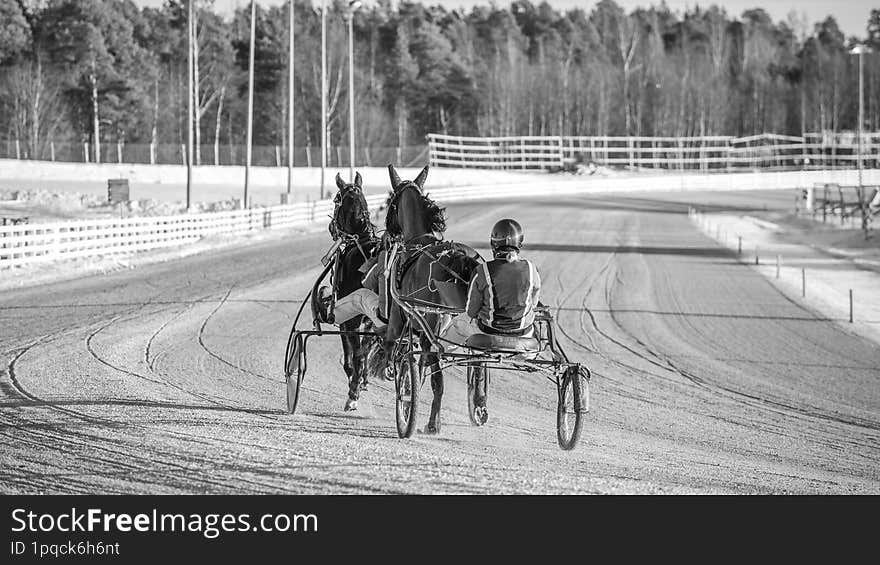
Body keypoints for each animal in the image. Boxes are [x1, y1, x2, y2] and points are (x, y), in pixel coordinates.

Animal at [384, 163, 482, 432]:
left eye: (390, 201)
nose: (387, 231)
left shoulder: (400, 319)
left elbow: (392, 347)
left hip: (431, 324)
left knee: (438, 379)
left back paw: (431, 422)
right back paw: (479, 403)